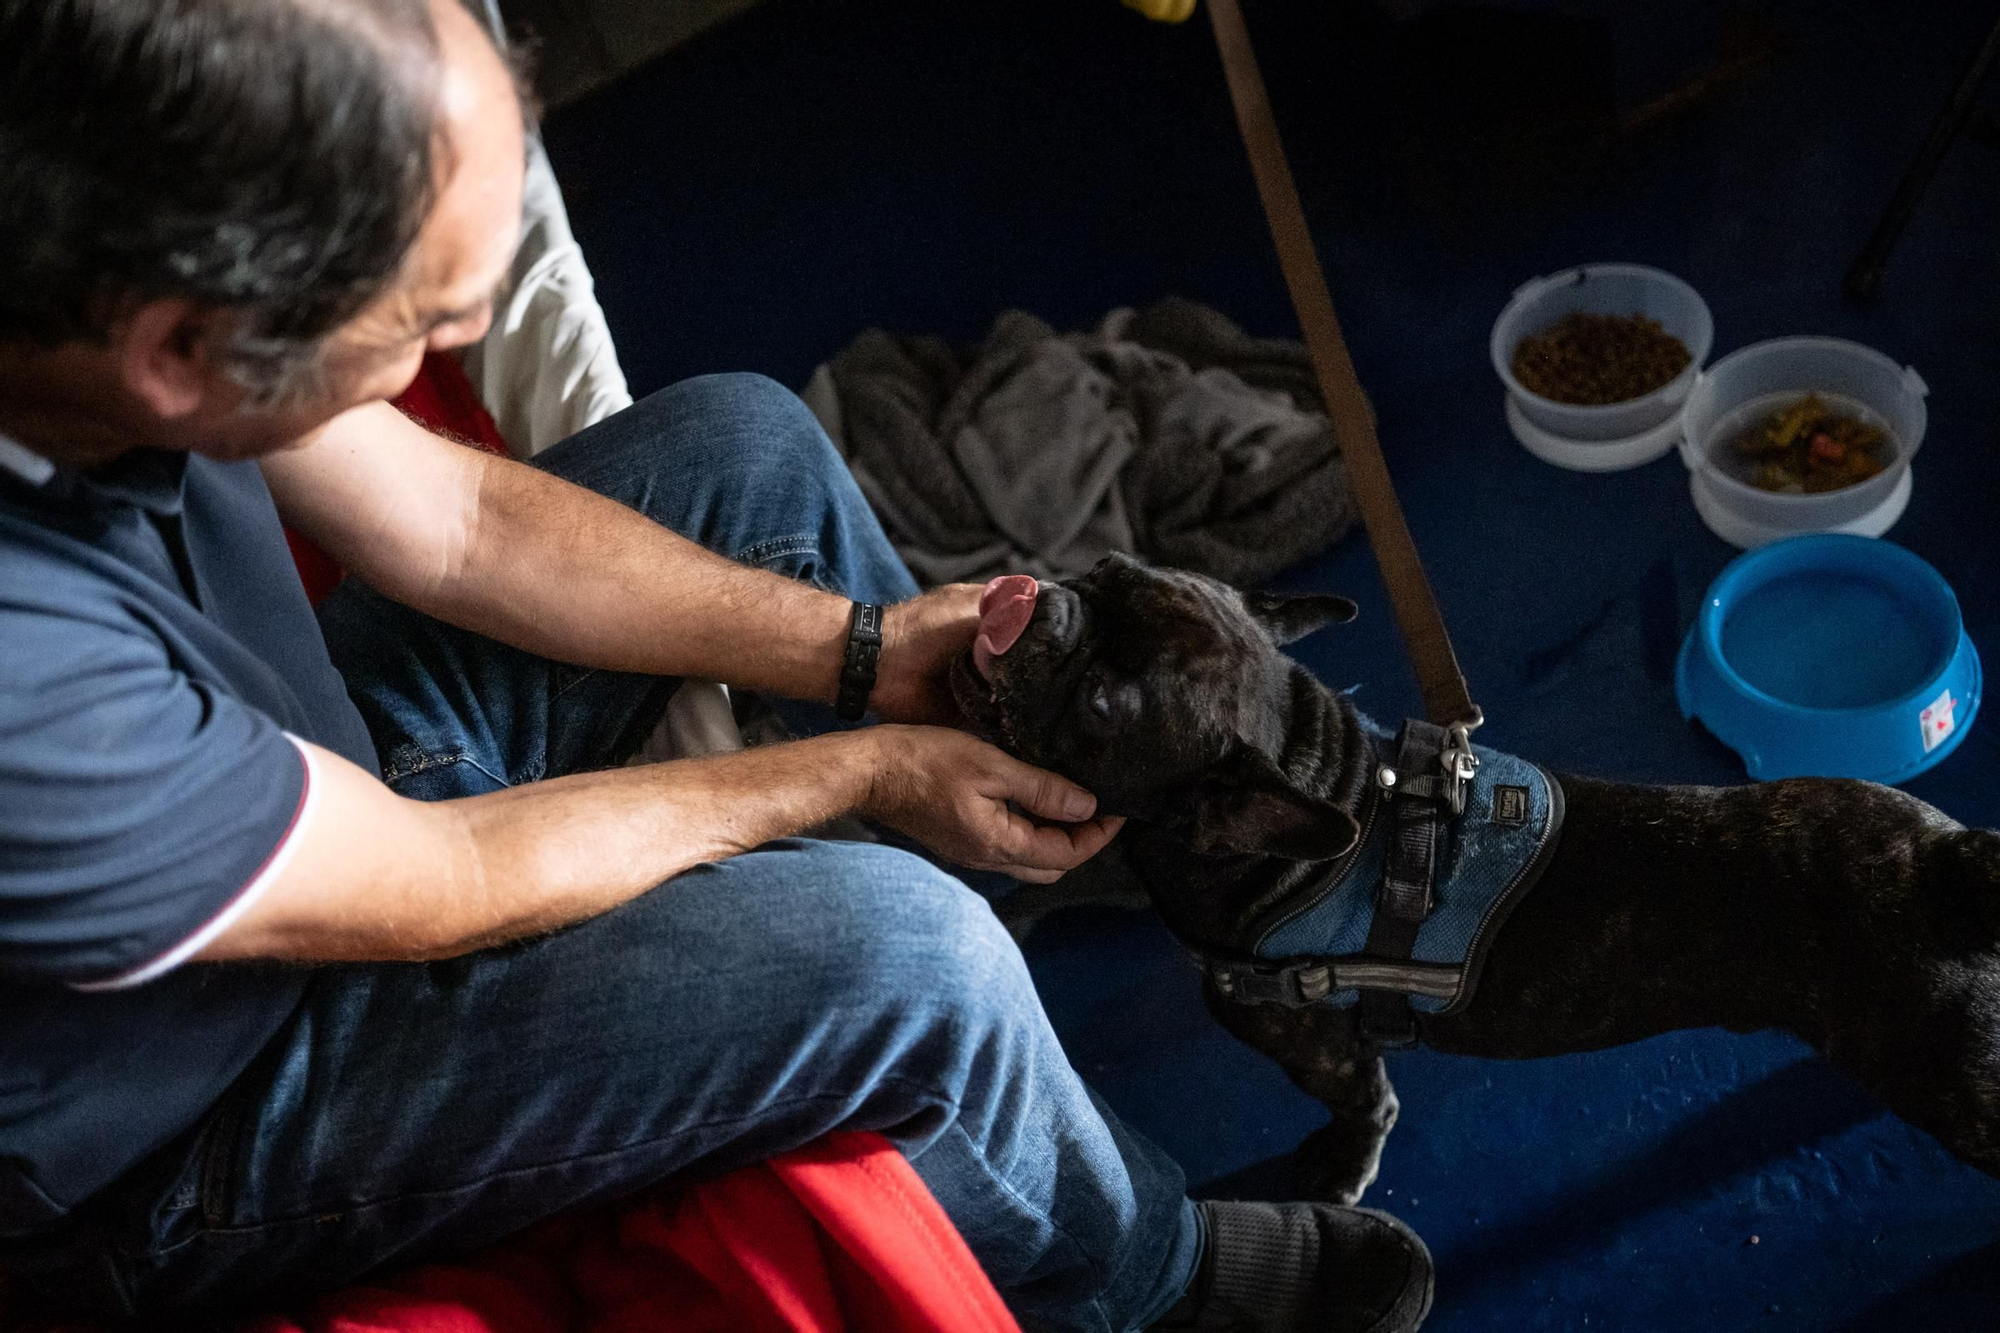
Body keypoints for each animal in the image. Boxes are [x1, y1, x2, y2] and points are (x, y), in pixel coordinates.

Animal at [948, 556, 2000, 1200]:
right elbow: (1069, 874)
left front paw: (1344, 1168)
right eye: (1106, 568)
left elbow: (1363, 1100)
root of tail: (1952, 860)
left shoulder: (1306, 1035)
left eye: (1103, 703)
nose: (1045, 602)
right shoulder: (1133, 850)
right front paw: (1011, 894)